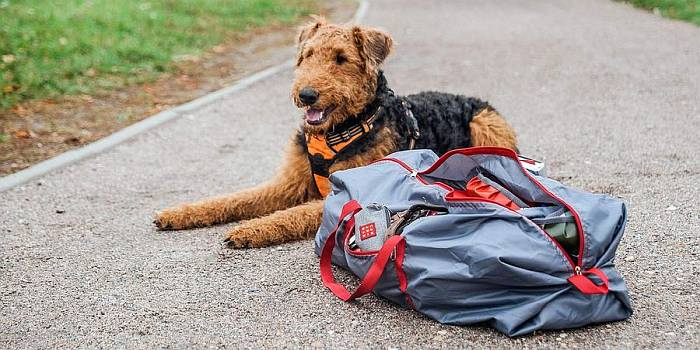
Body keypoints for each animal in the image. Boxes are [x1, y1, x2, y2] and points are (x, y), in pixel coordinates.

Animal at [156, 15, 516, 246]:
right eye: (307, 54)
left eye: (341, 58)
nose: (306, 95)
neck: (338, 131)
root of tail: (470, 98)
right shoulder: (288, 183)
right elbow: (234, 199)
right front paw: (178, 213)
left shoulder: (345, 195)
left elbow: (289, 214)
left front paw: (249, 230)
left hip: (485, 125)